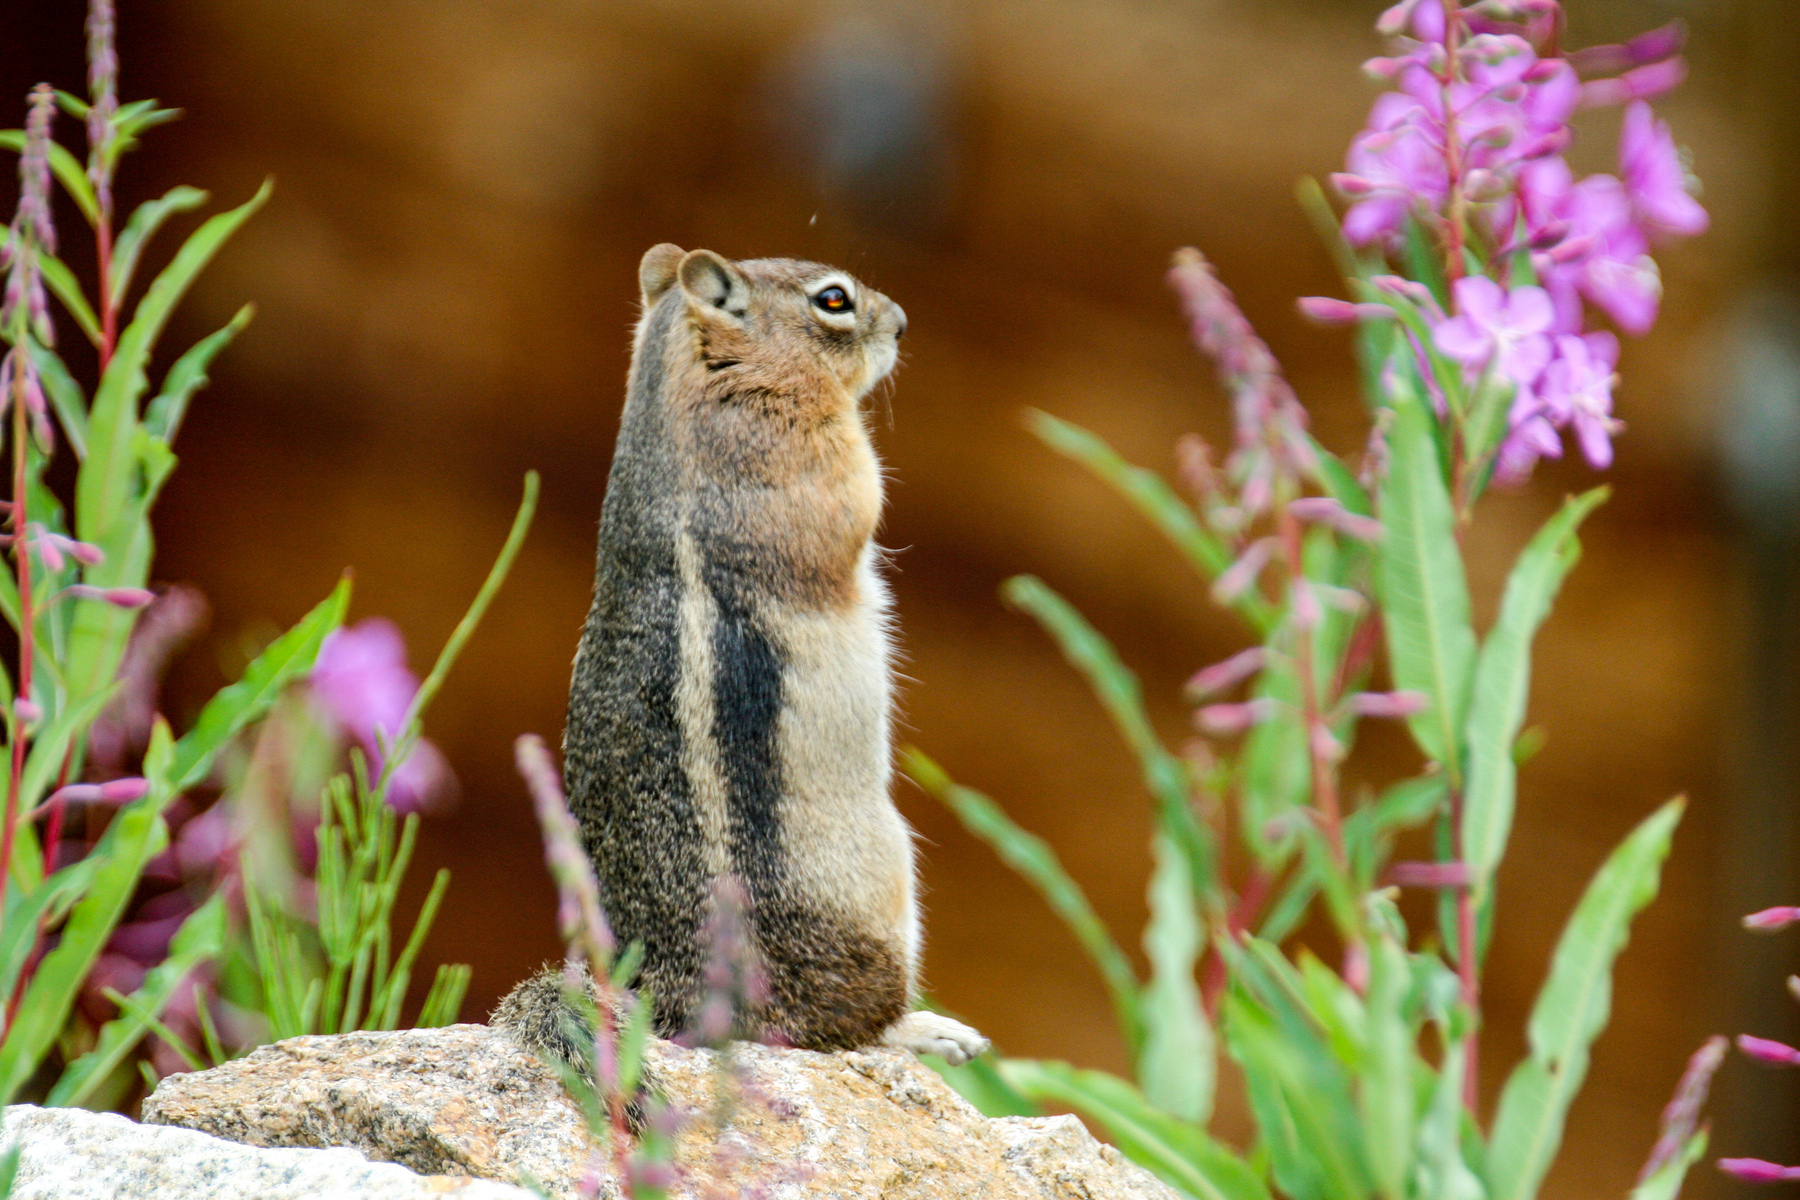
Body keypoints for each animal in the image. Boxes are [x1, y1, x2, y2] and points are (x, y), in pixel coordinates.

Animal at [493, 244, 993, 1072]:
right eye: (834, 300)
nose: (901, 322)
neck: (681, 402)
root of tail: (675, 1002)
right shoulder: (807, 459)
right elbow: (861, 498)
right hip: (884, 889)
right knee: (847, 1029)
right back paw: (932, 1031)